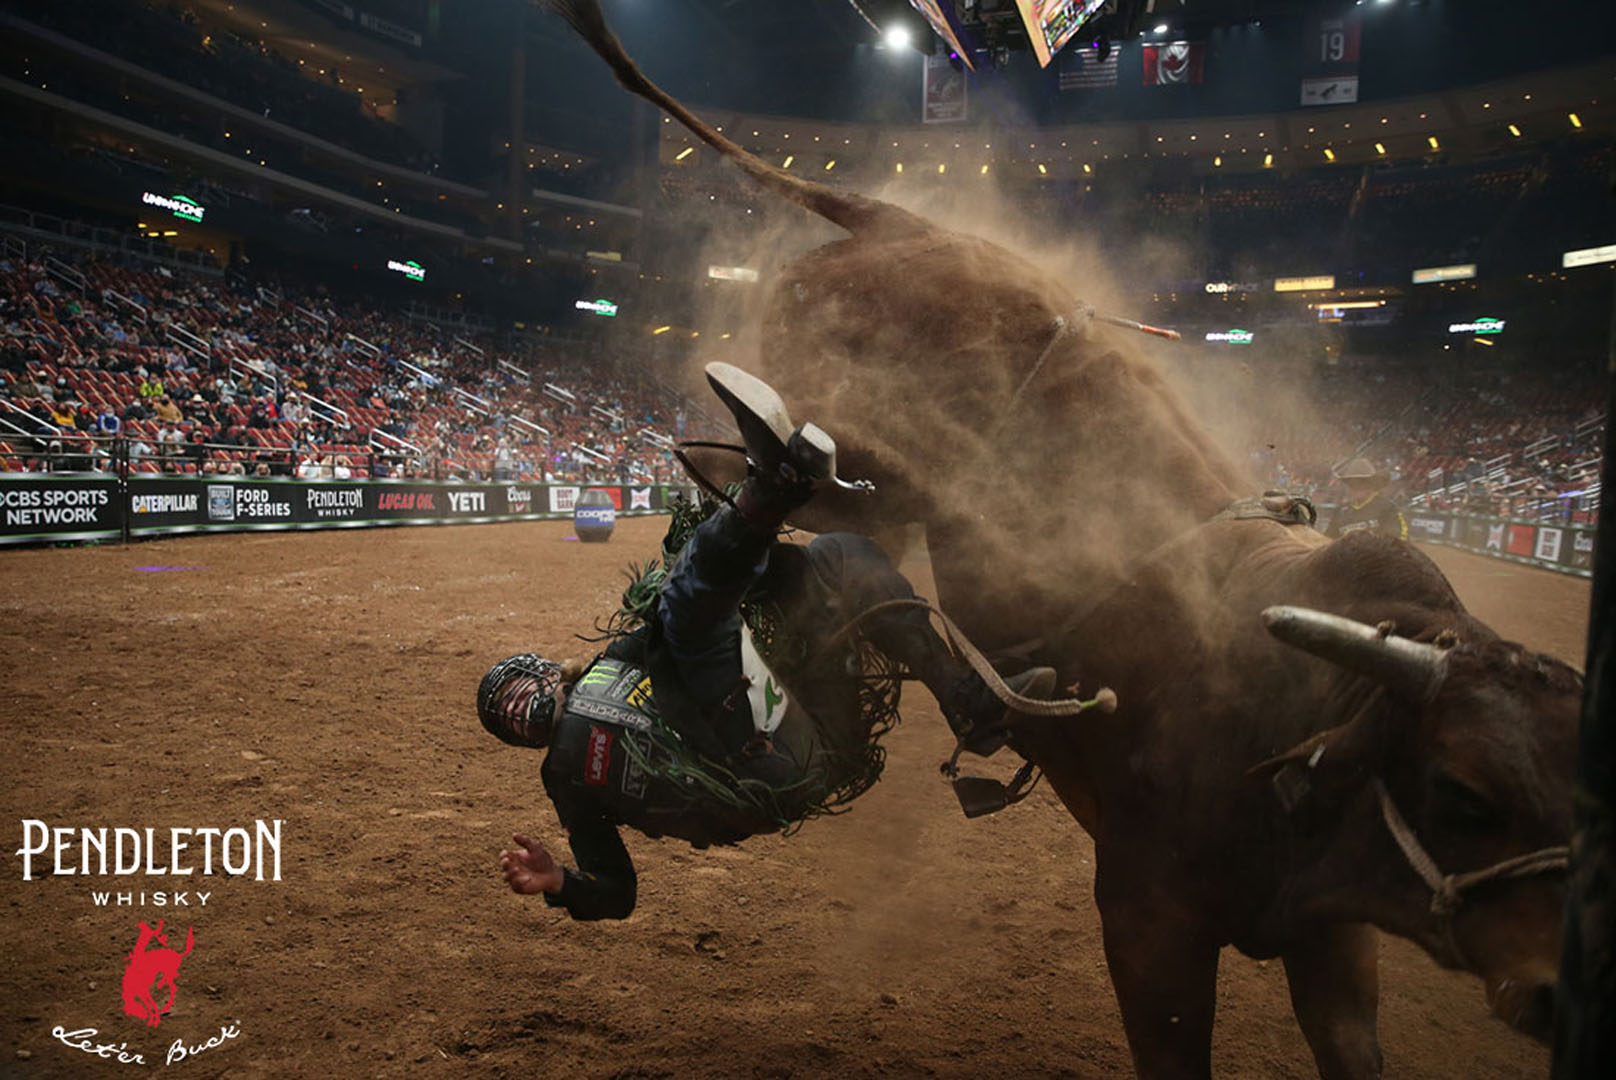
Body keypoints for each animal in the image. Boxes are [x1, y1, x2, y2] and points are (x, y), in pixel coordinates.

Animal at [541, 3, 1581, 1076]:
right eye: (1463, 794)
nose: (1564, 990)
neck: (1296, 693)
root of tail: (908, 225)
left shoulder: (1332, 935)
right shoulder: (1146, 918)